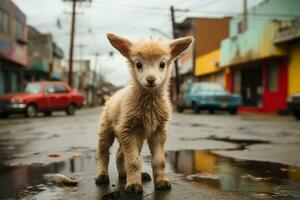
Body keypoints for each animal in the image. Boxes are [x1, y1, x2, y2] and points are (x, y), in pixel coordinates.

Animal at [96, 33, 195, 194]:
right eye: (138, 64)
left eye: (162, 64)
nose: (151, 79)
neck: (149, 102)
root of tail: (115, 94)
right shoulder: (128, 131)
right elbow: (133, 161)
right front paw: (133, 186)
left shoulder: (158, 131)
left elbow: (159, 161)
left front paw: (161, 181)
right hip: (107, 129)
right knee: (103, 153)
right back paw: (102, 176)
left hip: (136, 135)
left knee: (119, 155)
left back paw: (126, 175)